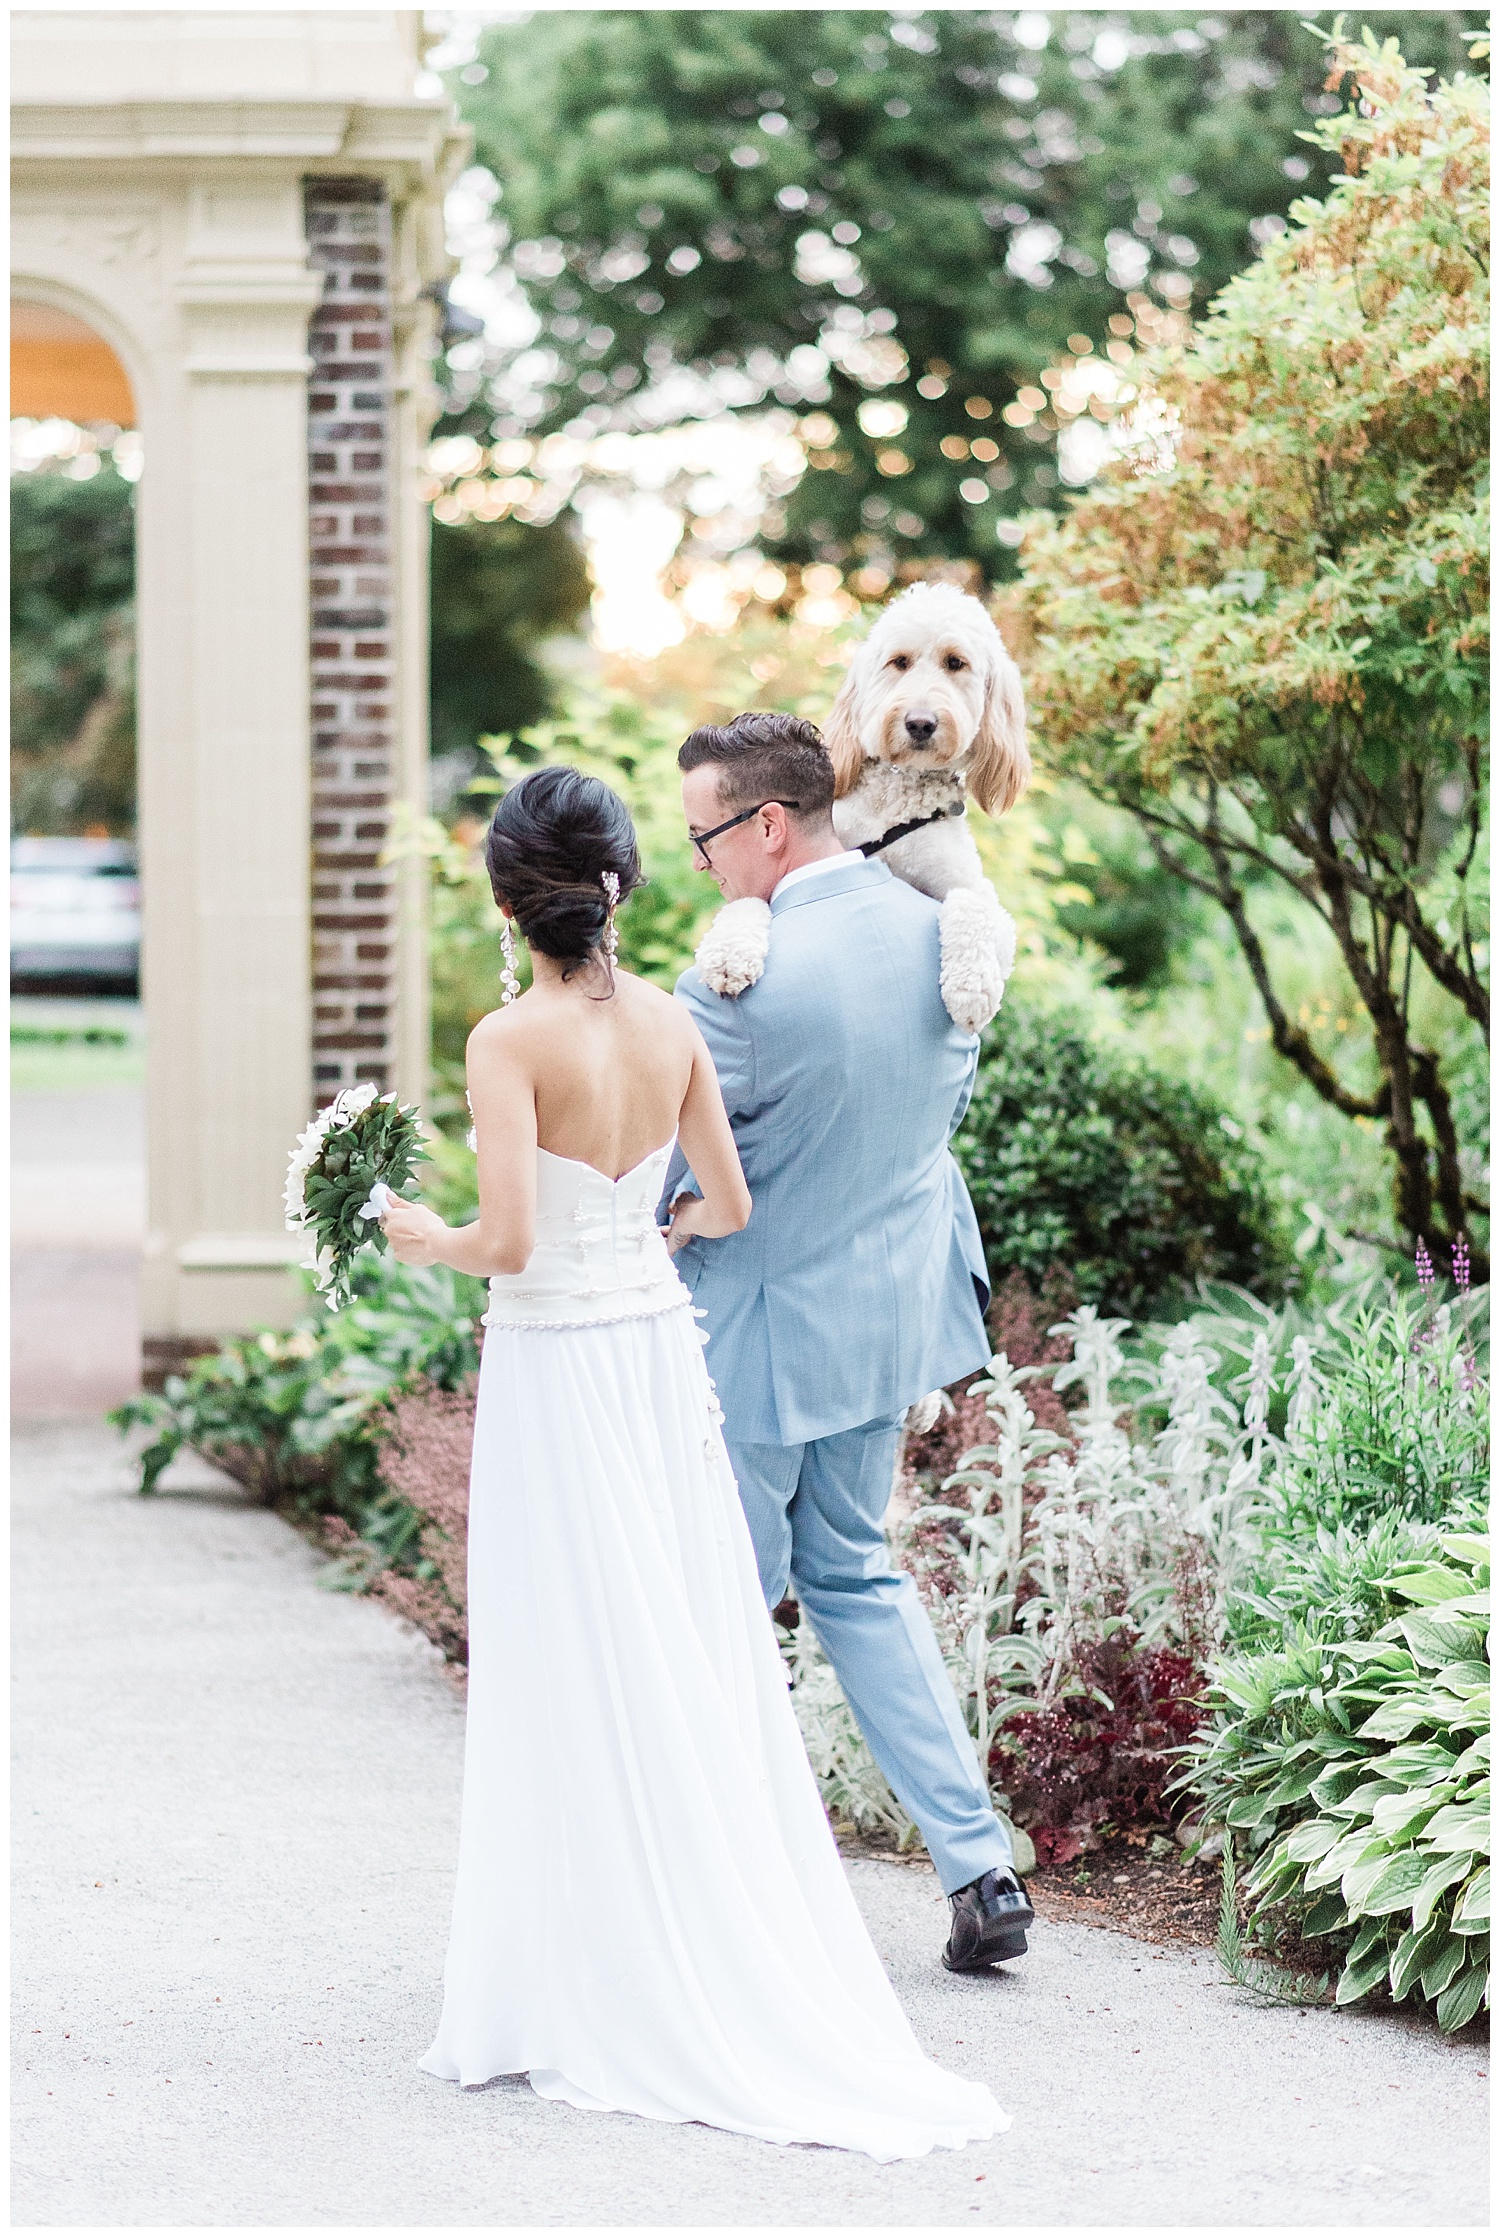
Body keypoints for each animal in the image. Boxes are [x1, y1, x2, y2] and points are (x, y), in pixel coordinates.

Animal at [697, 577, 1028, 1029]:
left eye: (955, 663)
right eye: (899, 662)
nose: (920, 722)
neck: (898, 801)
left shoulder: (985, 904)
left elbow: (970, 904)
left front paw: (972, 990)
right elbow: (744, 901)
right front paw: (728, 955)